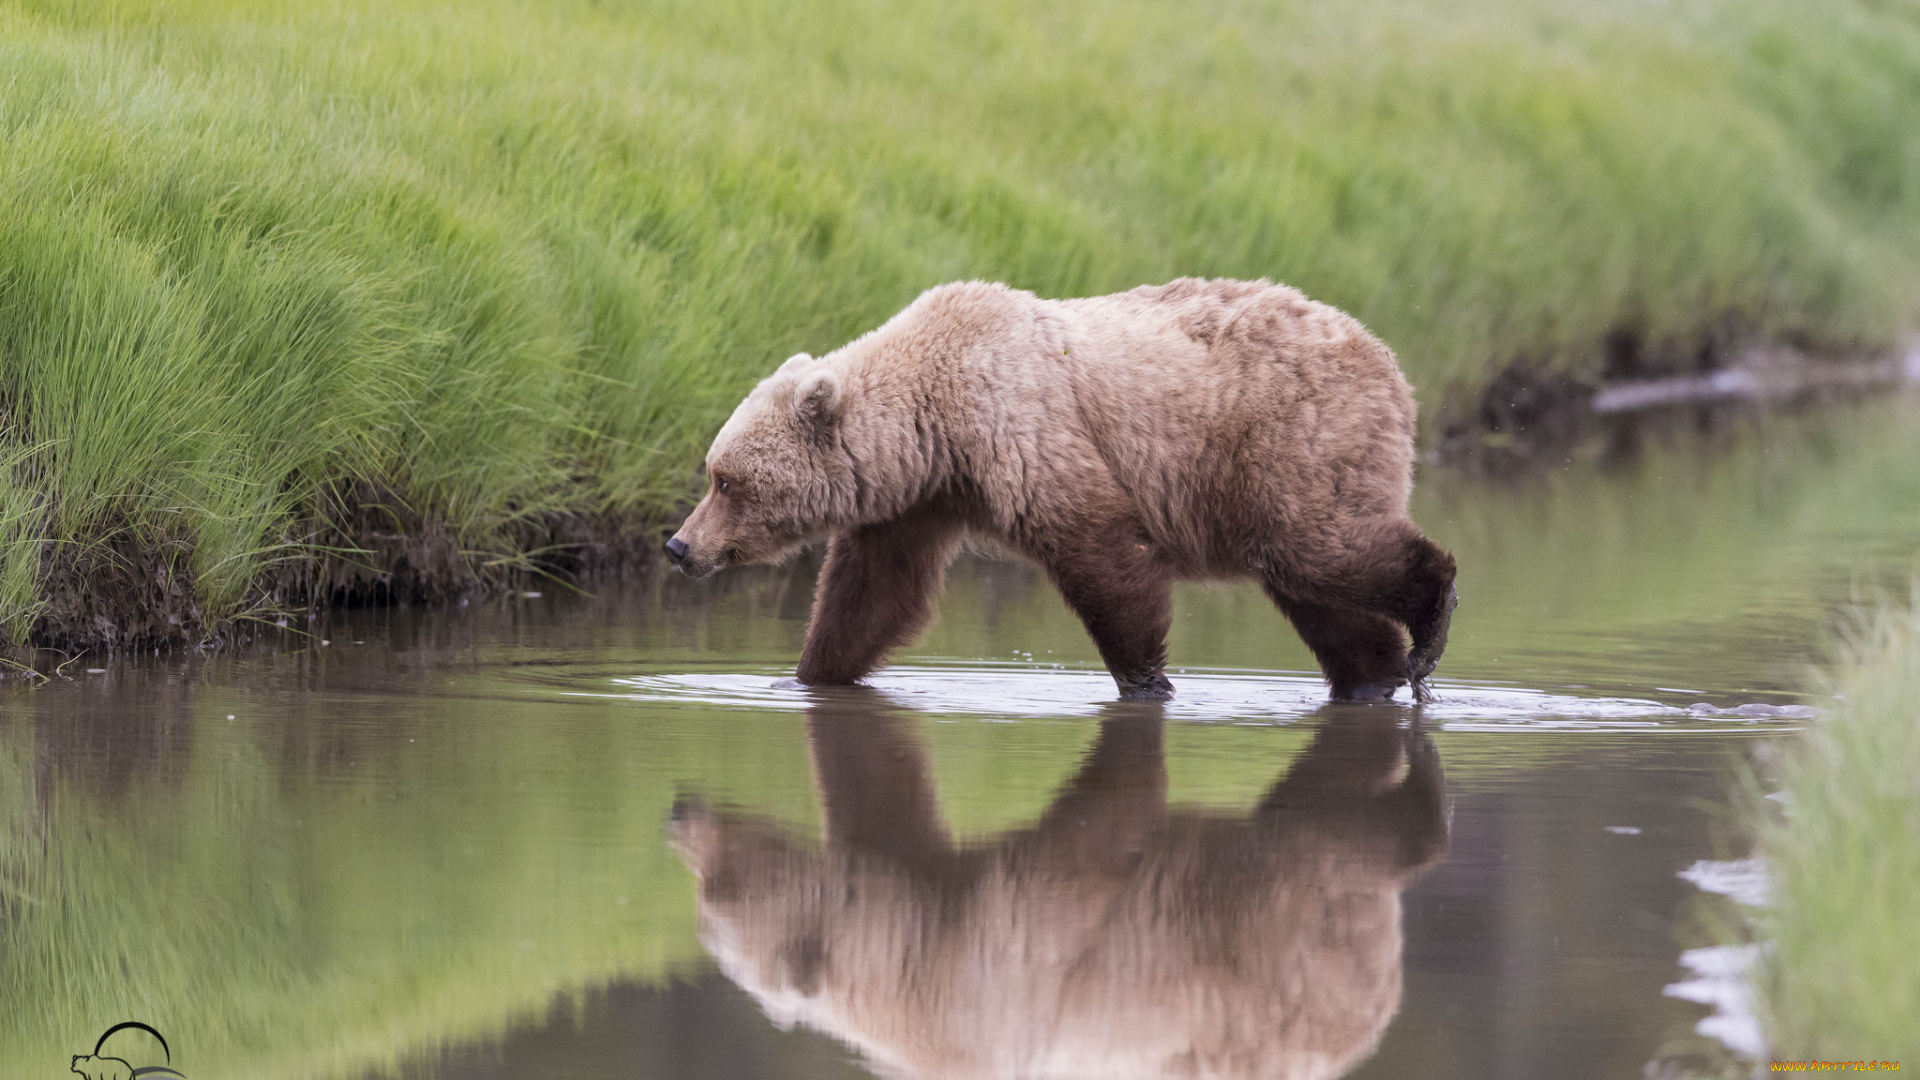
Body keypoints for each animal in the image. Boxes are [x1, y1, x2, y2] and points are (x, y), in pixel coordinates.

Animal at [668, 276, 1459, 699]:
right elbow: (871, 595)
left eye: (726, 481)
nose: (679, 546)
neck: (935, 423)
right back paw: (1375, 674)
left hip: (1287, 444)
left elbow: (1102, 553)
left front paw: (1145, 680)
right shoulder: (918, 502)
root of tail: (1389, 363)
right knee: (1318, 593)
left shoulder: (1025, 430)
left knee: (1320, 546)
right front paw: (805, 675)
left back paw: (1430, 618)